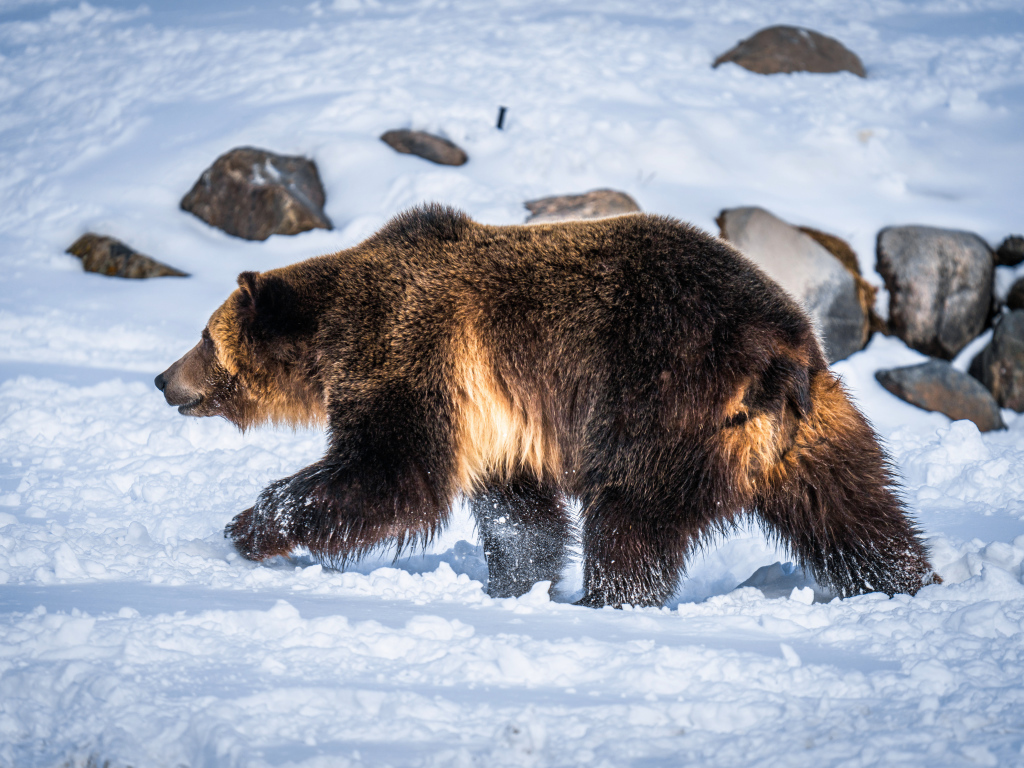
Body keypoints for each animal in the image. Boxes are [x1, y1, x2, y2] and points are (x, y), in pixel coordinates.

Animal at [155, 204, 936, 607]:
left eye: (204, 337)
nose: (163, 379)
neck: (333, 335)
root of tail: (777, 356)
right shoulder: (501, 421)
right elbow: (519, 516)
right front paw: (513, 583)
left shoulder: (413, 353)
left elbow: (392, 471)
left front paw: (250, 525)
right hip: (818, 426)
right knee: (858, 511)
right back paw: (906, 581)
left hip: (659, 408)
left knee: (629, 523)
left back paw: (608, 599)